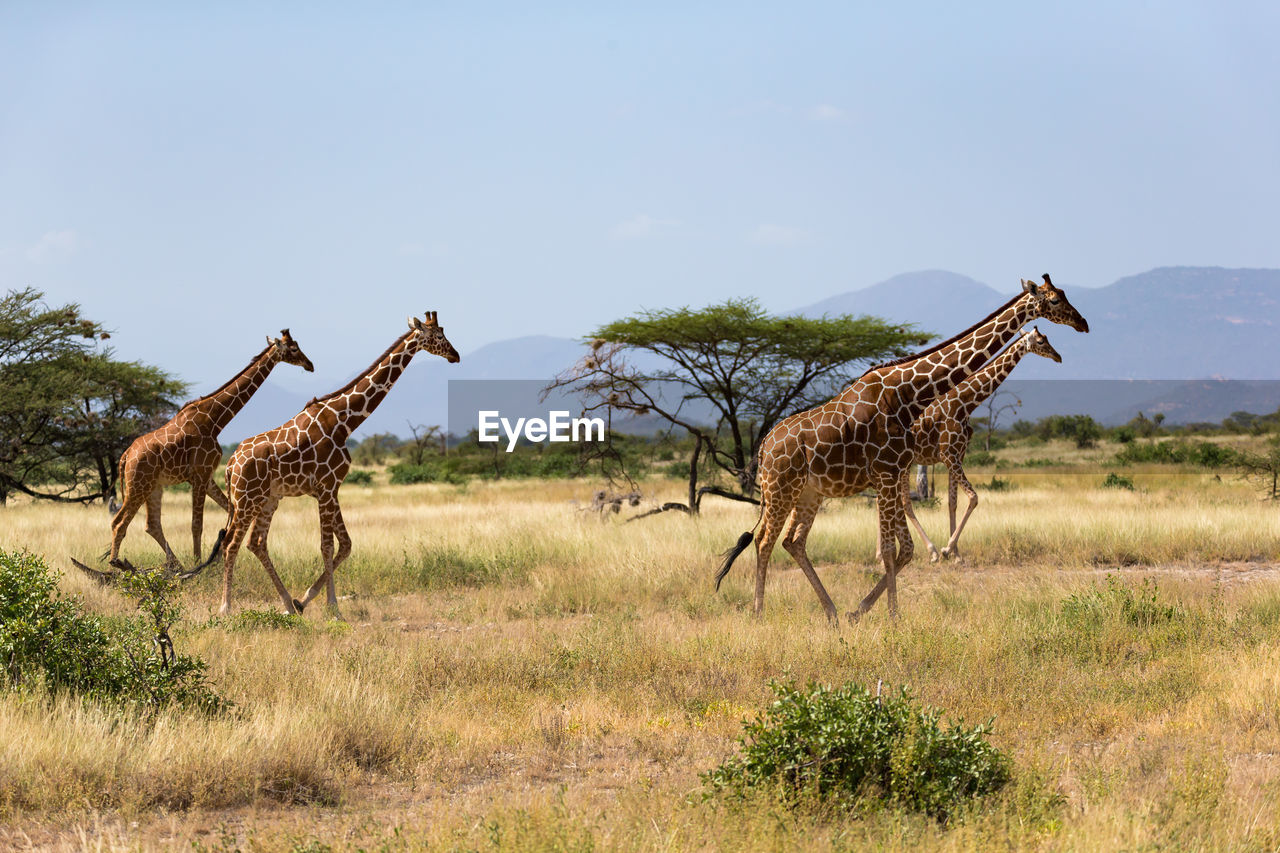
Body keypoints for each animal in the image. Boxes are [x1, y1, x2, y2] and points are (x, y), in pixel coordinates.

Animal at [107, 327, 312, 568]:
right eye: (294, 348)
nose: (310, 364)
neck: (215, 420)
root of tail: (125, 455)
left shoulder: (208, 475)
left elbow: (226, 510)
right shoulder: (200, 474)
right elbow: (197, 525)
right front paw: (199, 562)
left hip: (154, 486)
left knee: (152, 525)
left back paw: (176, 565)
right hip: (138, 485)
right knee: (119, 522)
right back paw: (115, 564)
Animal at [193, 308, 460, 614]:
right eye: (439, 336)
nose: (455, 355)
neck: (344, 421)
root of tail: (230, 465)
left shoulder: (332, 489)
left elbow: (345, 544)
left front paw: (304, 600)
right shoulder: (326, 488)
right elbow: (327, 546)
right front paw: (334, 607)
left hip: (268, 499)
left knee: (256, 543)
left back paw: (288, 603)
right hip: (246, 500)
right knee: (231, 545)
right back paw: (226, 608)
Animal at [885, 325, 1064, 563]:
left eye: (1047, 338)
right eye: (1041, 341)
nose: (1058, 356)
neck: (965, 403)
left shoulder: (958, 454)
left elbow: (953, 502)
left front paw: (956, 554)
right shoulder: (948, 455)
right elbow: (974, 497)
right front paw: (946, 550)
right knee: (903, 503)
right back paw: (929, 552)